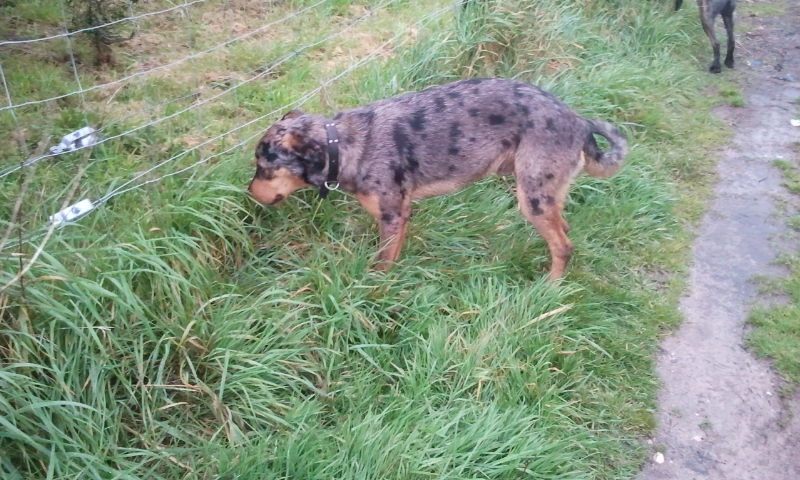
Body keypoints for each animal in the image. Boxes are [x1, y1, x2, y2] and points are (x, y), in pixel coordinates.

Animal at [247, 78, 628, 280]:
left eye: (263, 166)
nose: (249, 194)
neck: (344, 145)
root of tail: (579, 121)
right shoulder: (402, 216)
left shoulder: (392, 216)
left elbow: (381, 266)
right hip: (545, 194)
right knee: (564, 232)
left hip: (532, 196)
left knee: (563, 245)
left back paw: (549, 289)